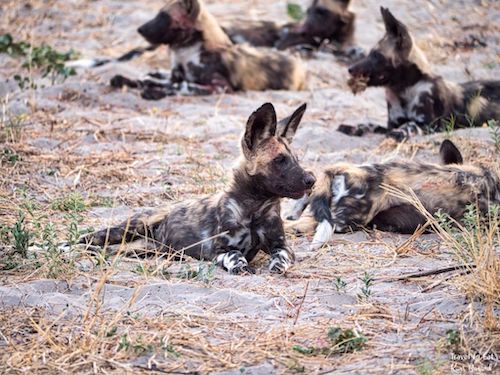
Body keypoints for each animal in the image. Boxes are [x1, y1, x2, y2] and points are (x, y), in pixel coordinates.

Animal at [82, 104, 316, 274]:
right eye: (280, 160)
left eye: (295, 159)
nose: (311, 179)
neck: (255, 208)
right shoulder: (218, 250)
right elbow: (235, 255)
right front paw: (240, 266)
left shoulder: (282, 246)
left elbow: (281, 256)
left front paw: (276, 265)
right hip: (127, 229)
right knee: (91, 239)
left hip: (142, 249)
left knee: (114, 250)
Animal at [109, 0, 304, 100]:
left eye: (163, 16)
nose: (139, 29)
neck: (185, 53)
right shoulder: (175, 75)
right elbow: (156, 80)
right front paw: (128, 80)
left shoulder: (220, 87)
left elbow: (183, 86)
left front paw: (154, 91)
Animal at [340, 7, 500, 142]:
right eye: (370, 54)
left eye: (376, 55)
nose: (350, 69)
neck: (404, 90)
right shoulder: (391, 124)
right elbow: (372, 125)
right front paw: (355, 127)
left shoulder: (432, 125)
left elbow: (410, 125)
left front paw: (400, 132)